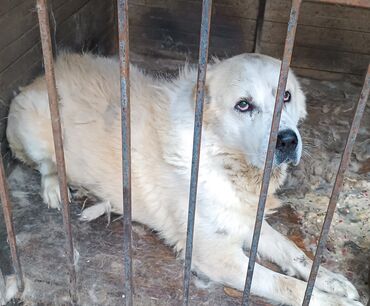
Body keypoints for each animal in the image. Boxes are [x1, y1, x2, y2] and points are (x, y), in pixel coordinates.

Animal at [5, 52, 362, 306]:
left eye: (286, 96)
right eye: (243, 105)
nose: (287, 140)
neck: (220, 159)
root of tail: (41, 75)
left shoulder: (245, 218)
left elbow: (291, 250)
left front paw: (330, 279)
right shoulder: (217, 258)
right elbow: (285, 285)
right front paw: (331, 300)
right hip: (34, 129)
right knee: (45, 164)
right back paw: (56, 187)